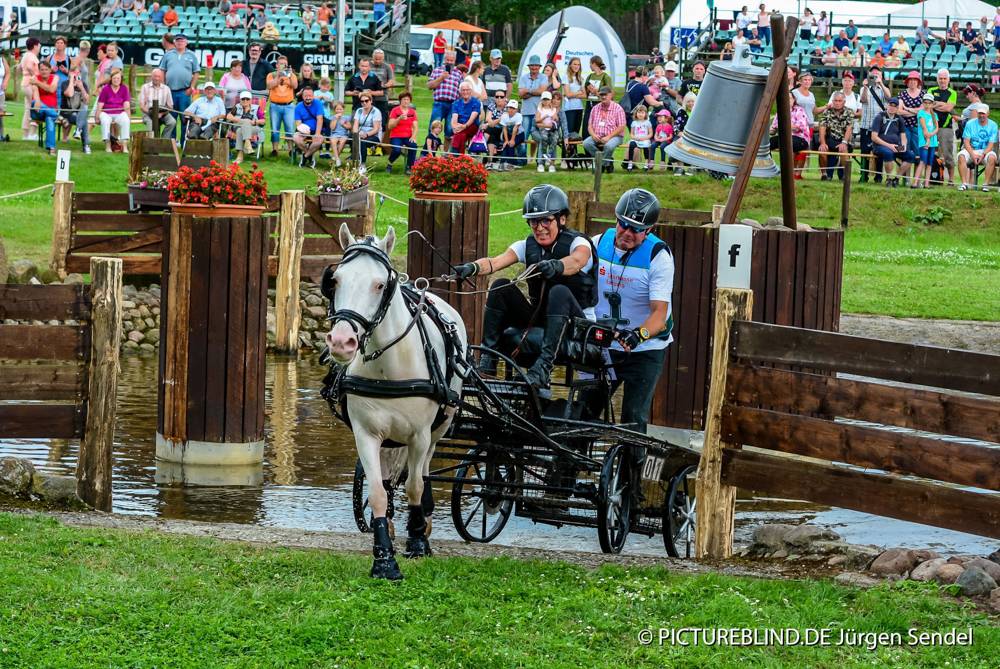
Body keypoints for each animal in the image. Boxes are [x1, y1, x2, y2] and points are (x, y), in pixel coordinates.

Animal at [322, 224, 468, 580]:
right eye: (336, 280)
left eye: (379, 284)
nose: (342, 342)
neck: (389, 365)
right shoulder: (366, 433)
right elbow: (376, 491)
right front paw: (384, 557)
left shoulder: (420, 435)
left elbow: (414, 486)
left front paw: (416, 540)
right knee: (389, 480)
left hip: (439, 428)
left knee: (423, 473)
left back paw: (422, 526)